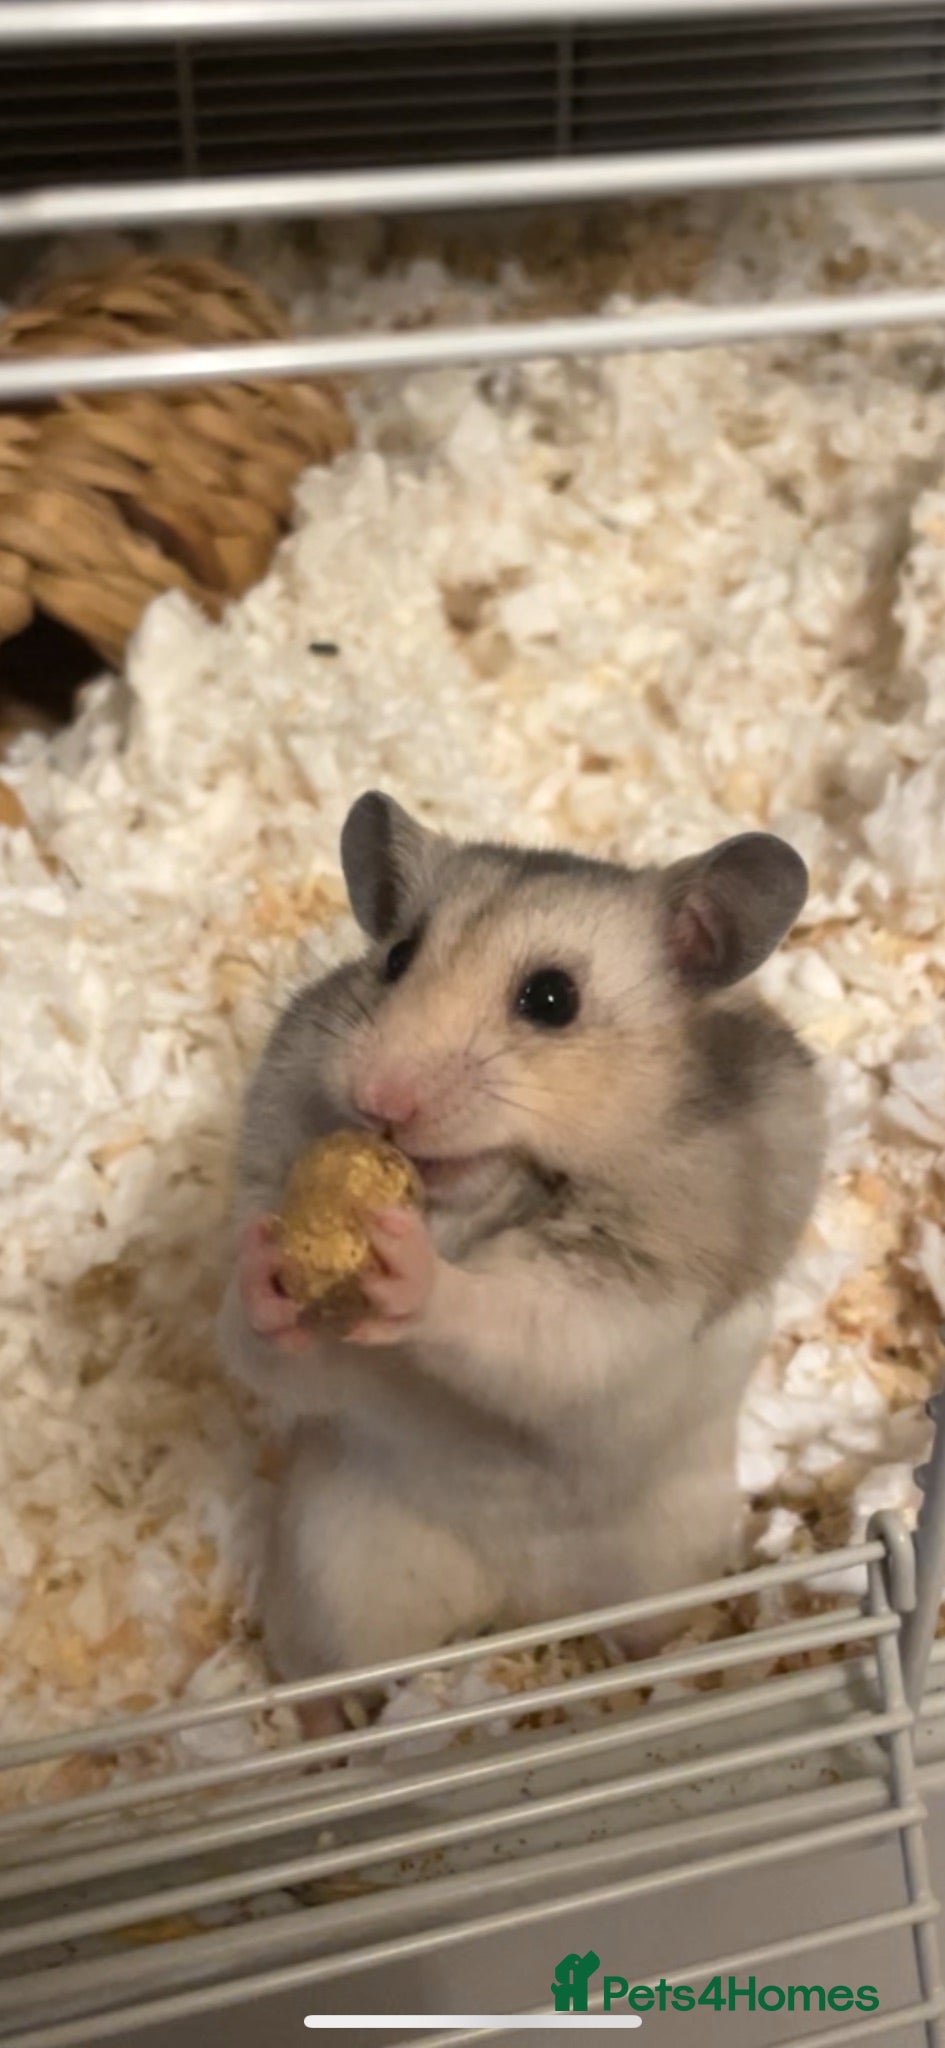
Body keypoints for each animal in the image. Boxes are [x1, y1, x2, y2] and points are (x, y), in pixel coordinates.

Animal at [217, 791, 824, 1723]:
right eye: (395, 958)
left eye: (550, 997)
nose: (377, 1101)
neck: (465, 1207)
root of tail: (519, 1608)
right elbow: (269, 1348)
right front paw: (268, 1262)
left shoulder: (620, 1293)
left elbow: (519, 1323)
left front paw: (406, 1270)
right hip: (336, 1569)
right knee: (330, 1670)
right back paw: (330, 1729)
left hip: (667, 1559)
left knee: (648, 1632)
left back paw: (653, 1681)